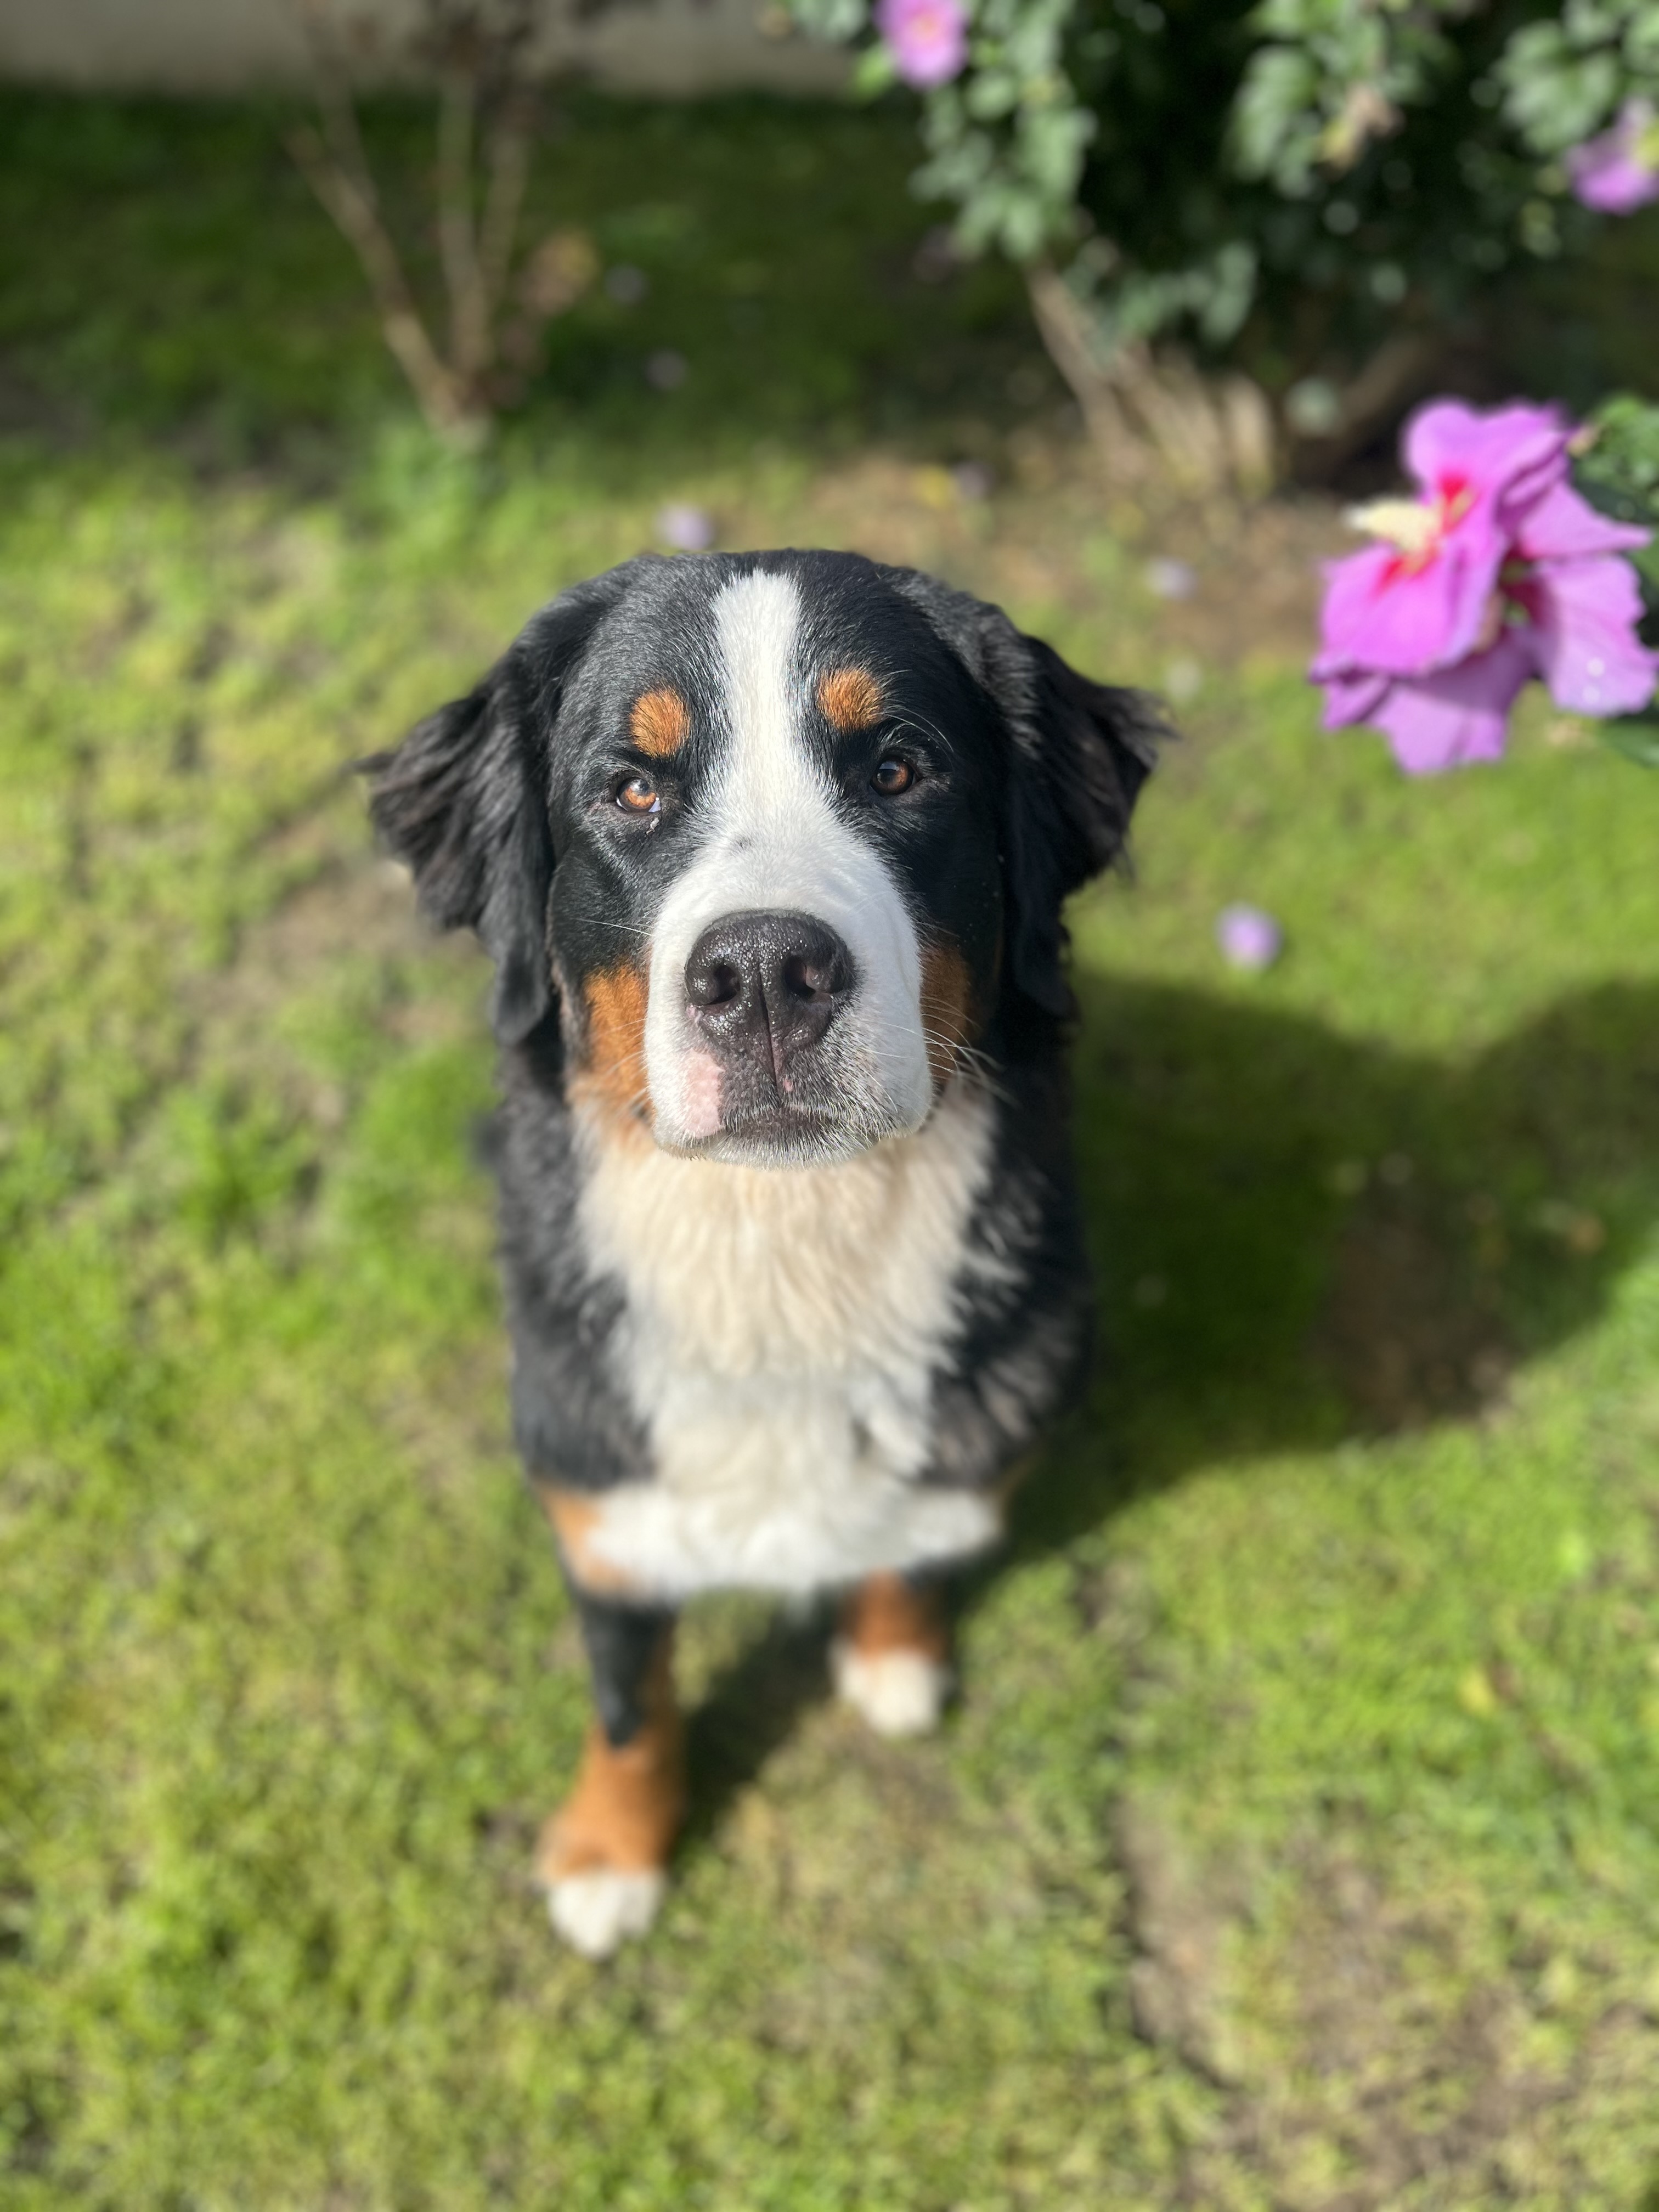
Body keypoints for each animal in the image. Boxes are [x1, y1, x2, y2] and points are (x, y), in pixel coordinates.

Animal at [366, 549, 1161, 1957]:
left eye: (897, 770)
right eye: (633, 789)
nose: (767, 971)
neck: (784, 1258)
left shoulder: (977, 1451)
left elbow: (907, 1549)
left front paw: (893, 1654)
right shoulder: (606, 1512)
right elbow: (630, 1704)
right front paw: (612, 1853)